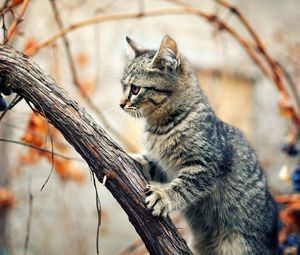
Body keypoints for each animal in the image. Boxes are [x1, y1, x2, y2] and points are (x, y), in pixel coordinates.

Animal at [119, 34, 276, 254]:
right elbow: (151, 162)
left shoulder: (206, 163)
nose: (120, 104)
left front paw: (164, 196)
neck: (161, 126)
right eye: (122, 86)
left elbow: (184, 186)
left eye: (135, 89)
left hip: (239, 243)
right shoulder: (165, 165)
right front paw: (133, 159)